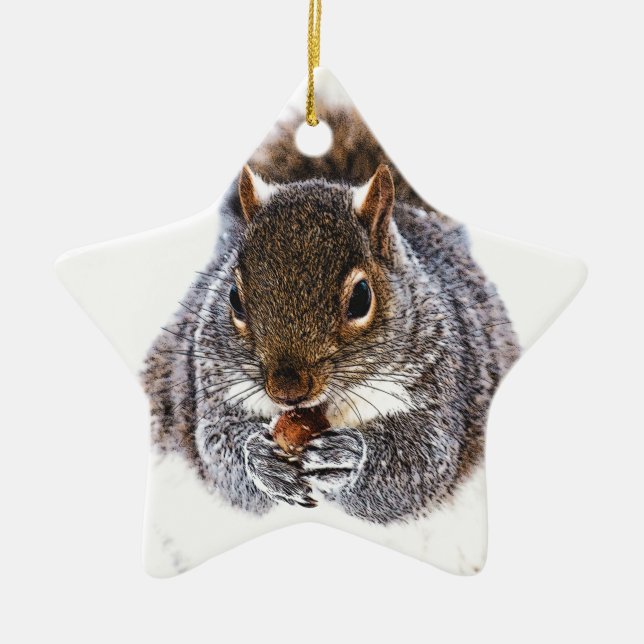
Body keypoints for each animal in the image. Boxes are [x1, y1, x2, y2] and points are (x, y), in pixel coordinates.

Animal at [142, 106, 520, 524]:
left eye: (361, 298)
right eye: (234, 298)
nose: (287, 390)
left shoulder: (440, 384)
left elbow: (419, 463)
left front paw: (348, 458)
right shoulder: (212, 383)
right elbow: (219, 451)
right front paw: (260, 460)